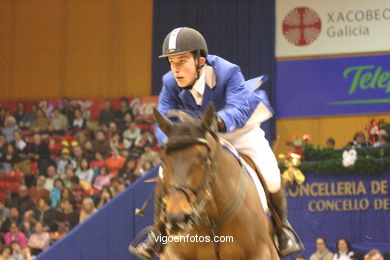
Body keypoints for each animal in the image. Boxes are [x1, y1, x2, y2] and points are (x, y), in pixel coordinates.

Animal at [154, 104, 278, 260]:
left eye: (203, 158)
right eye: (163, 159)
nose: (177, 218)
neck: (213, 216)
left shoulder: (262, 252)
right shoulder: (174, 254)